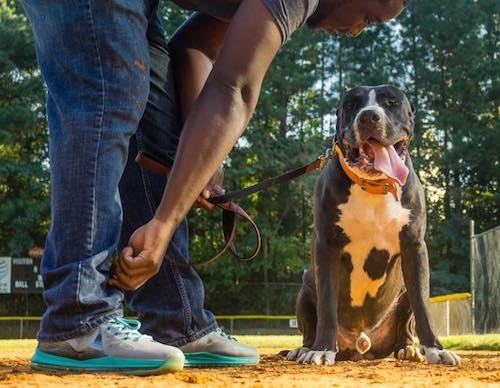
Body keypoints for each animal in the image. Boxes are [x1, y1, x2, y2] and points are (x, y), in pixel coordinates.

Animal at [286, 85, 460, 366]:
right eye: (351, 105)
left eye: (392, 102)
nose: (368, 116)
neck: (374, 185)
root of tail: (361, 343)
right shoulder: (325, 247)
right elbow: (326, 304)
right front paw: (322, 349)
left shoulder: (415, 248)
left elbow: (423, 306)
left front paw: (436, 349)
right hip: (304, 288)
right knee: (309, 325)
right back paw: (304, 349)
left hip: (404, 292)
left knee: (407, 321)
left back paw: (408, 349)